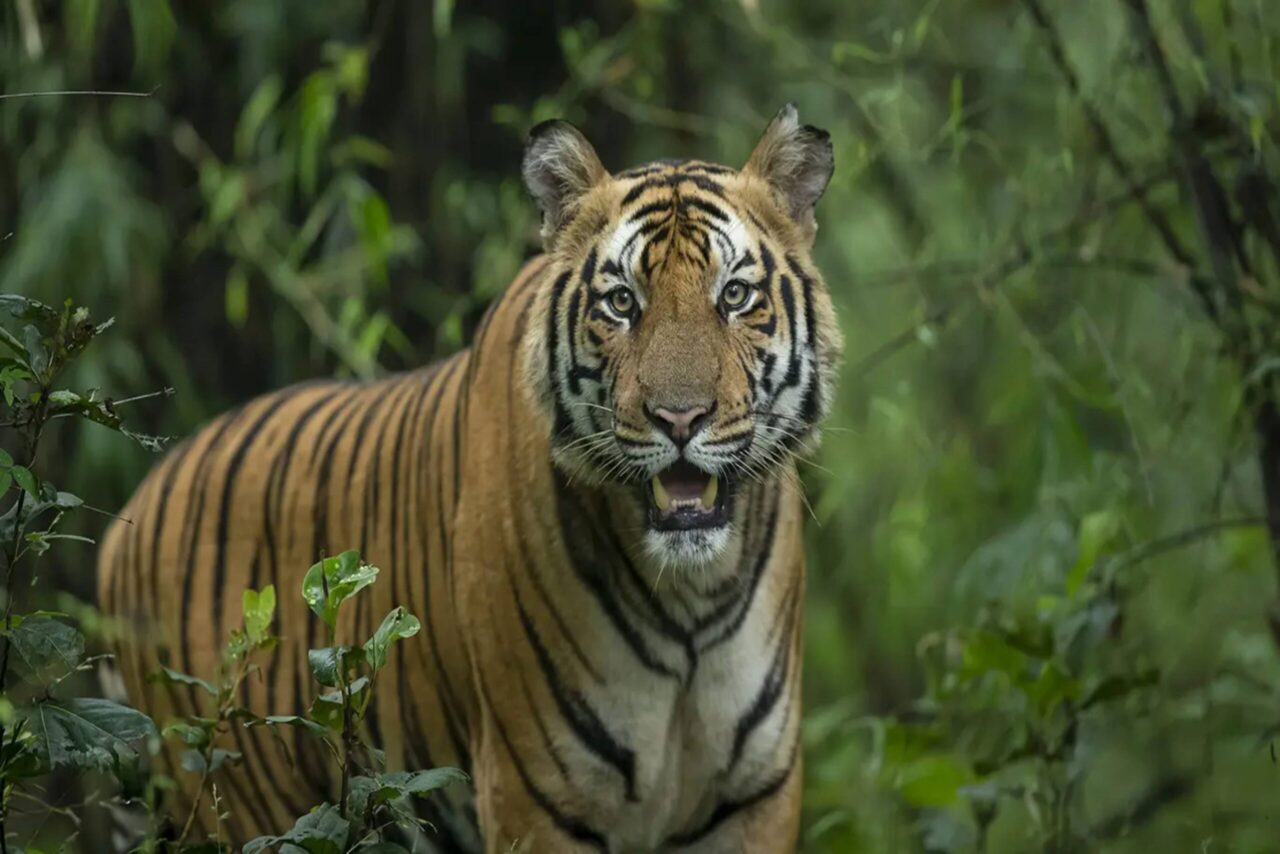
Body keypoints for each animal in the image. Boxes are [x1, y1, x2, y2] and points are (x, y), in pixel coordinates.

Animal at [97, 103, 839, 850]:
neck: (692, 595)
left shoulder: (756, 794)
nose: (679, 418)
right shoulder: (535, 793)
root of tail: (129, 516)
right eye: (623, 303)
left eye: (735, 295)